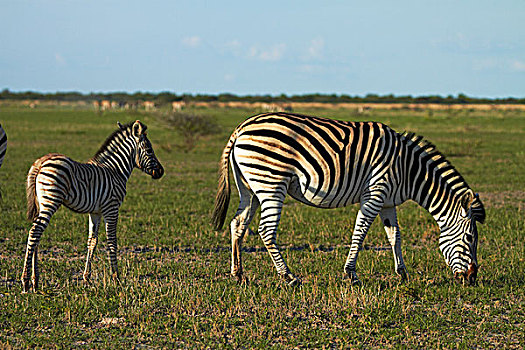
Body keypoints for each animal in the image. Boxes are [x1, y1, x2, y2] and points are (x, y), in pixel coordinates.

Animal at [21, 120, 164, 292]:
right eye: (149, 150)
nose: (161, 172)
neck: (116, 171)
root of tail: (40, 162)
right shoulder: (111, 208)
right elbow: (112, 241)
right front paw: (116, 279)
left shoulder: (96, 212)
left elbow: (92, 242)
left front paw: (86, 279)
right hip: (50, 201)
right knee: (34, 232)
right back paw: (25, 281)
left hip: (42, 204)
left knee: (37, 235)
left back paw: (35, 281)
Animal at [211, 113, 486, 286]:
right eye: (470, 238)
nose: (472, 279)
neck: (408, 169)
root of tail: (241, 128)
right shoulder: (375, 193)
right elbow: (359, 234)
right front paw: (351, 275)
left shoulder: (388, 202)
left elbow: (395, 236)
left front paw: (402, 273)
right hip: (271, 183)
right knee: (266, 231)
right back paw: (288, 277)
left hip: (250, 187)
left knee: (238, 224)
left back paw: (238, 275)